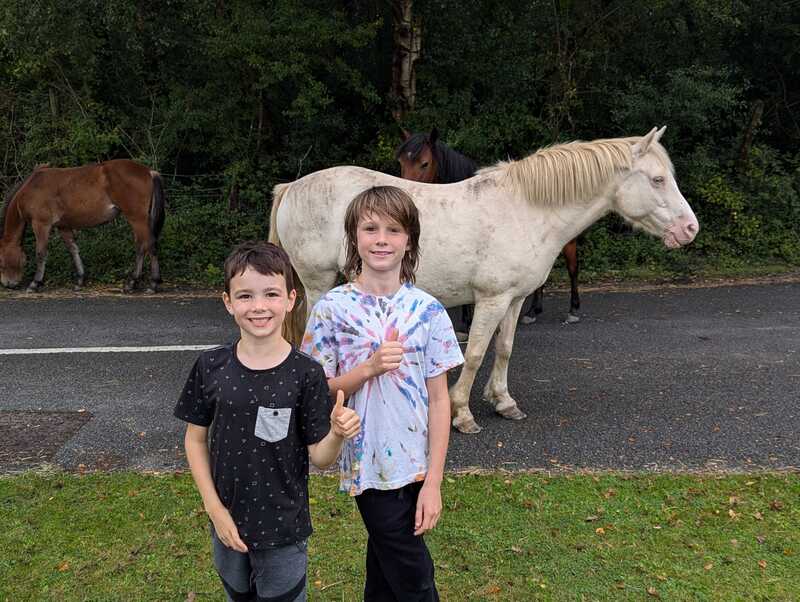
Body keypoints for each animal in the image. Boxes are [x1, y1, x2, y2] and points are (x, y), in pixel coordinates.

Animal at [0, 159, 165, 293]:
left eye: (1, 261)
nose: (8, 284)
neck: (32, 187)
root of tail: (149, 172)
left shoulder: (41, 224)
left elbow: (41, 253)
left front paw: (35, 283)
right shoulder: (63, 226)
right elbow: (73, 249)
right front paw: (79, 280)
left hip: (137, 218)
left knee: (148, 245)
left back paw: (149, 284)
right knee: (143, 246)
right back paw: (138, 283)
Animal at [397, 128, 582, 325]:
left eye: (424, 163)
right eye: (401, 162)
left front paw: (468, 318)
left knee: (572, 269)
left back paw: (572, 308)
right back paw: (533, 310)